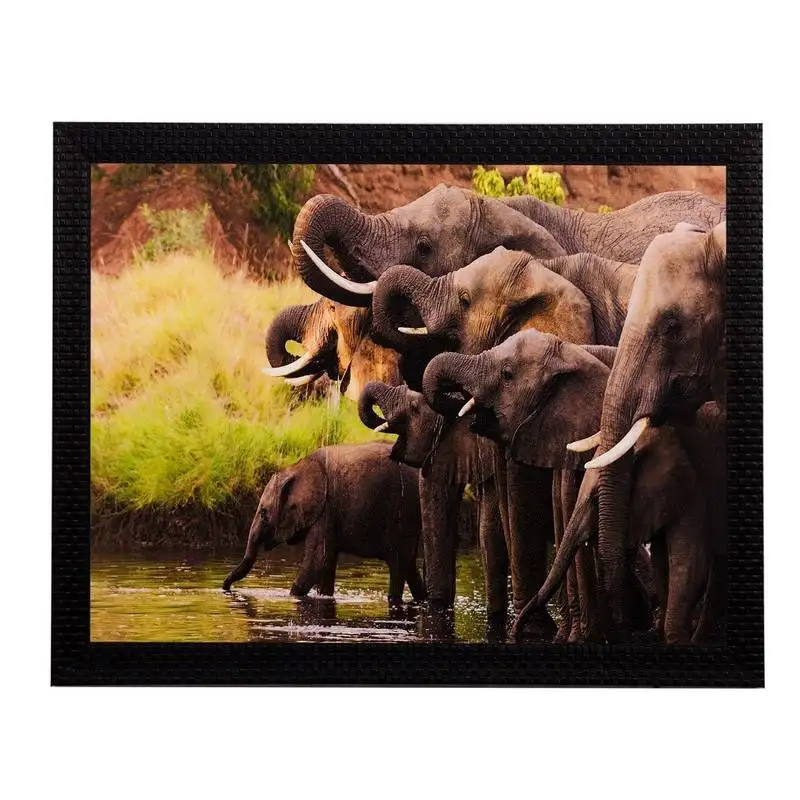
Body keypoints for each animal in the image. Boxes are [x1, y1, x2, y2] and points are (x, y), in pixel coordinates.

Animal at [222, 442, 425, 605]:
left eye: (263, 514)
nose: (225, 588)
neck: (297, 467)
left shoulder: (326, 509)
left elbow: (318, 560)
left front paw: (292, 597)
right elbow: (326, 563)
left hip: (403, 512)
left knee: (398, 564)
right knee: (409, 565)